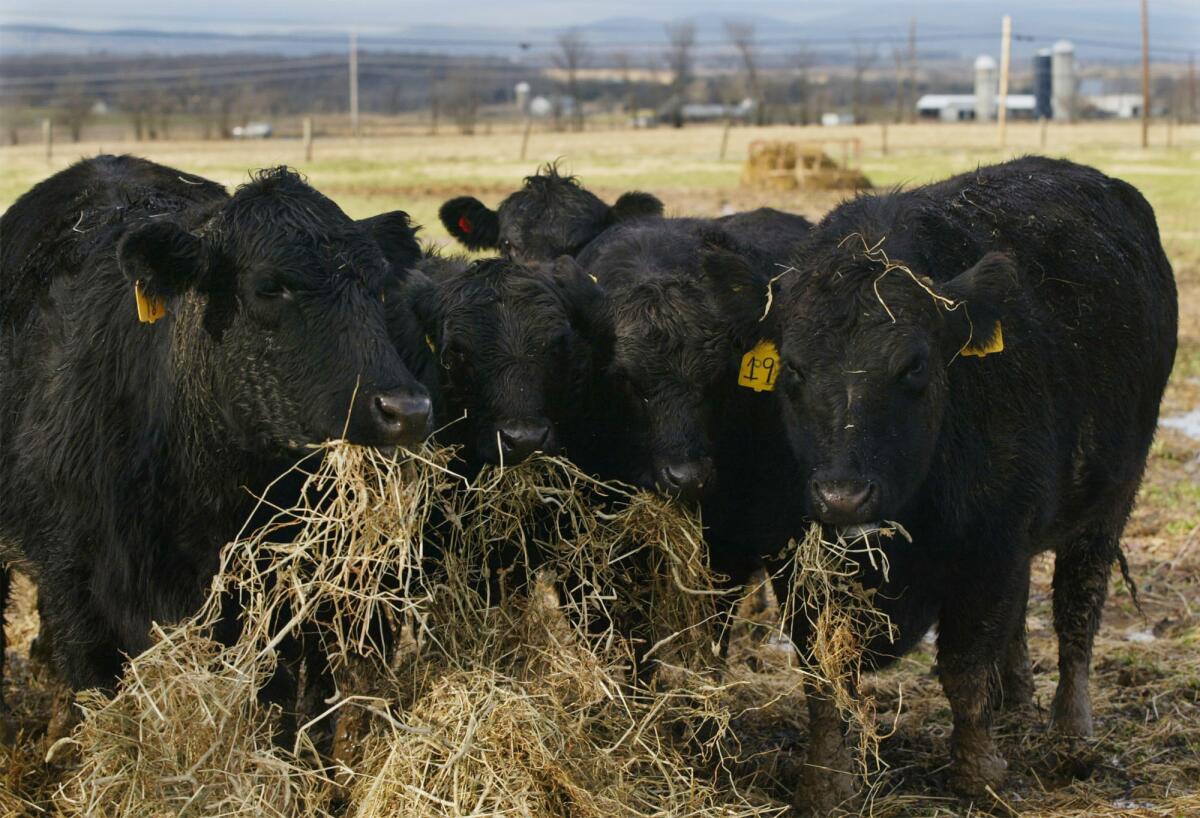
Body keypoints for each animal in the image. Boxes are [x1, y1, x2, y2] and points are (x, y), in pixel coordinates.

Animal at [768, 155, 1171, 801]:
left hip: (1110, 502)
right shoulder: (797, 565)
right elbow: (824, 675)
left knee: (1077, 613)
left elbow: (964, 664)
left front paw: (978, 771)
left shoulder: (989, 549)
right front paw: (826, 783)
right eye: (794, 369)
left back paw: (1070, 734)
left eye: (913, 366)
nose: (843, 495)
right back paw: (1016, 702)